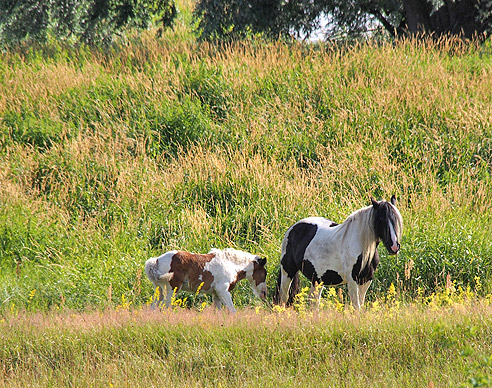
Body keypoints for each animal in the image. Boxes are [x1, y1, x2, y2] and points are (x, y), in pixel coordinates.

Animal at [272, 197, 404, 310]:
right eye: (381, 219)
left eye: (396, 220)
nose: (394, 246)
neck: (360, 245)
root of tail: (293, 228)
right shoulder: (352, 280)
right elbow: (357, 307)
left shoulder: (366, 280)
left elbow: (361, 305)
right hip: (287, 272)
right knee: (283, 298)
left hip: (317, 280)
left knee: (314, 302)